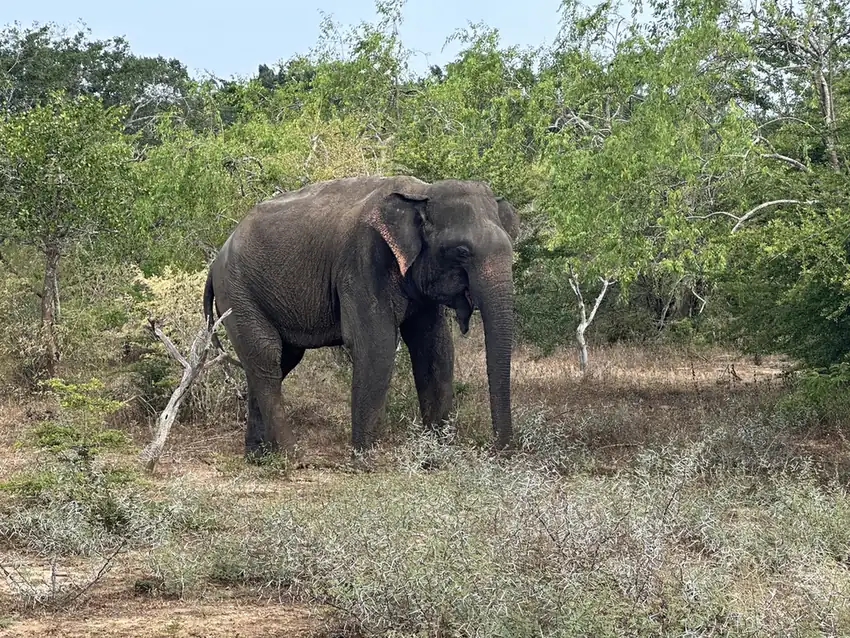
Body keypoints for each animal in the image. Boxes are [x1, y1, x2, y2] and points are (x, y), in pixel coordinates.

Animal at [203, 175, 519, 458]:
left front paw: (439, 451)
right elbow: (375, 344)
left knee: (277, 361)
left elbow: (434, 346)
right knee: (266, 357)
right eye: (462, 252)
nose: (498, 452)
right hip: (237, 292)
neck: (420, 191)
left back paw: (258, 456)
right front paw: (366, 458)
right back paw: (294, 456)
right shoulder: (363, 261)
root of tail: (215, 260)